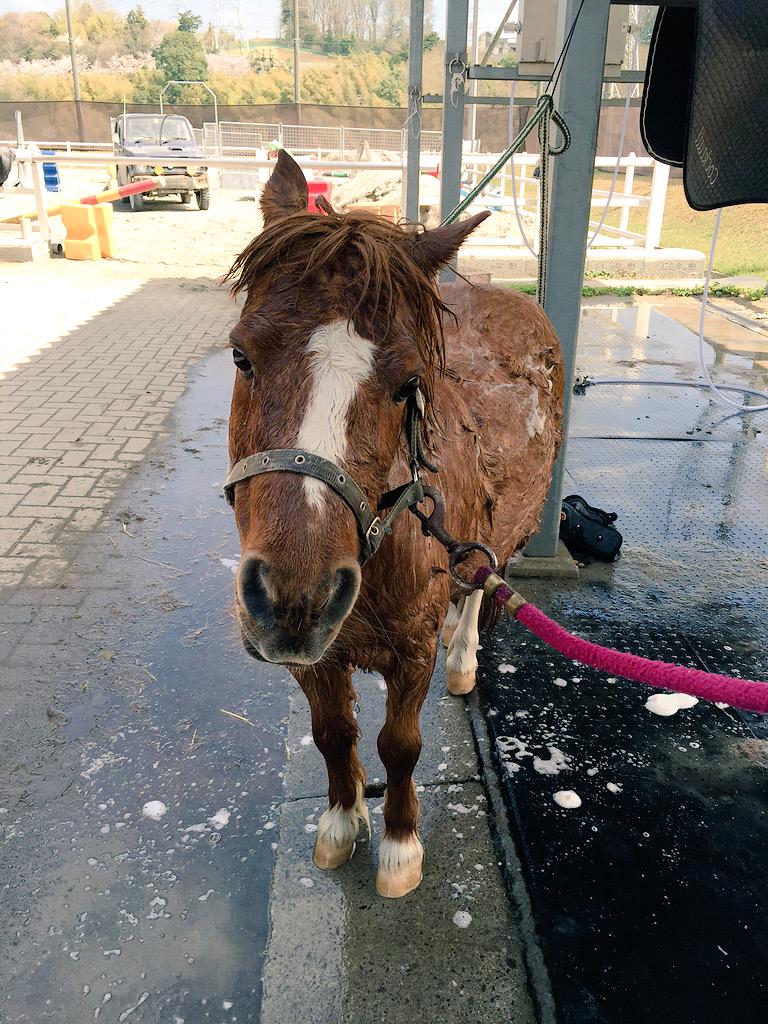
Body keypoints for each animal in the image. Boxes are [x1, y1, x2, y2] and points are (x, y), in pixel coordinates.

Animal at [224, 151, 564, 898]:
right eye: (240, 355)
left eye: (409, 382)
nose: (294, 598)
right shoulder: (318, 658)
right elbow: (334, 733)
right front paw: (341, 820)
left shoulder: (410, 654)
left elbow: (399, 747)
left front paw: (400, 848)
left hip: (500, 541)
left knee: (482, 583)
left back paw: (464, 656)